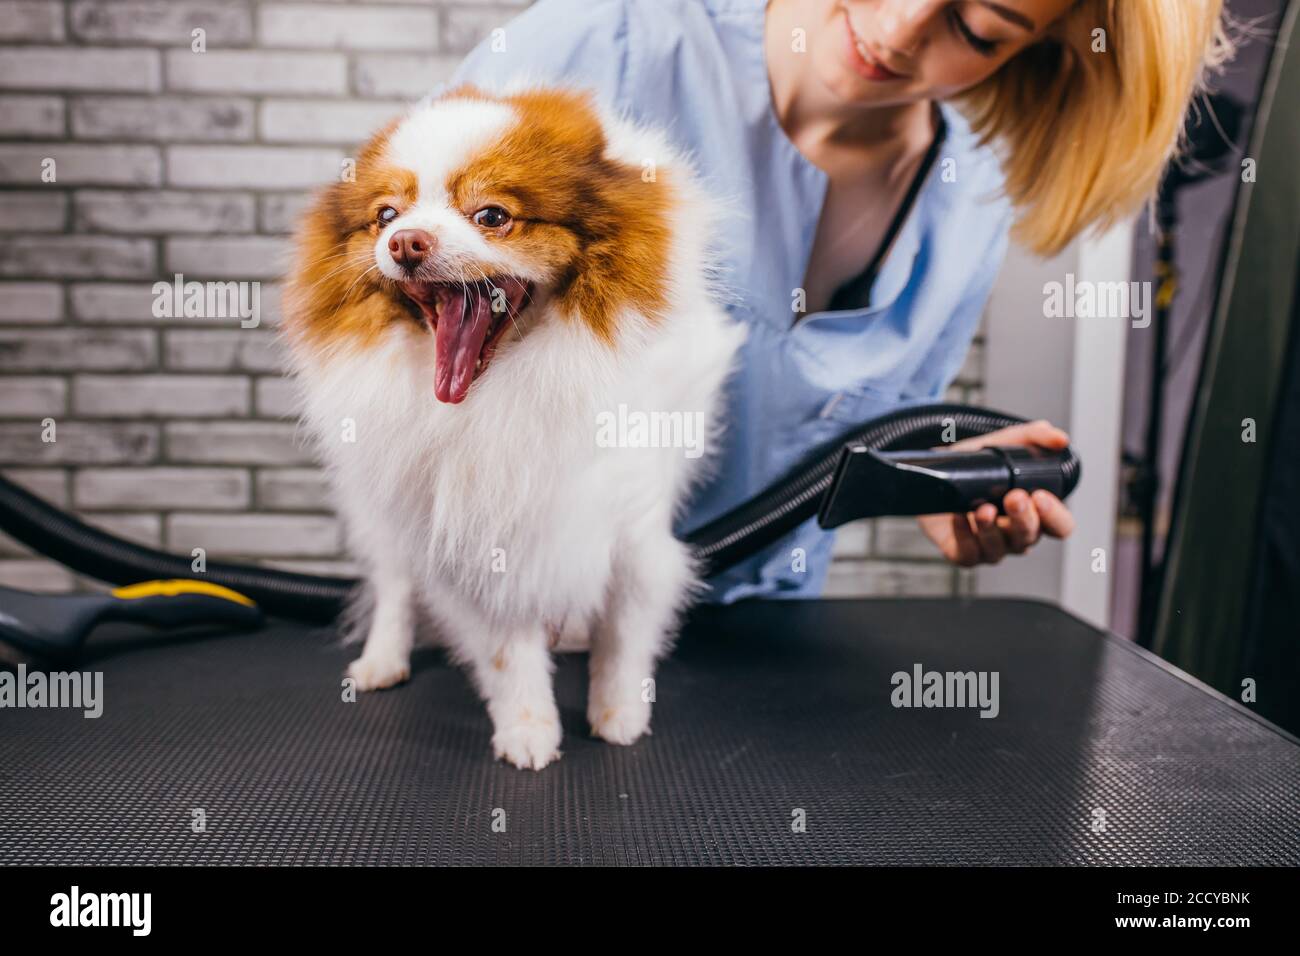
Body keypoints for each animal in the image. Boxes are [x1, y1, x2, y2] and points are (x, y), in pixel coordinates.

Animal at [284, 83, 754, 770]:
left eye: (492, 216)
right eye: (386, 215)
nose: (405, 242)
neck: (510, 388)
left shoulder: (633, 527)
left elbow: (625, 630)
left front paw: (619, 712)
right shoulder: (474, 536)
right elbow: (507, 650)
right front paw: (528, 730)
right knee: (394, 581)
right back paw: (382, 660)